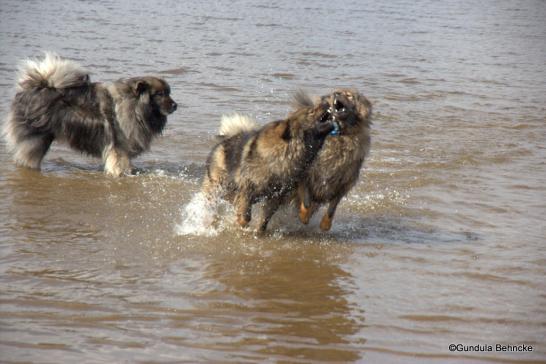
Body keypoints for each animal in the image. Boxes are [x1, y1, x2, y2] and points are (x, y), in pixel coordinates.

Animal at [296, 88, 372, 230]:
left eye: (349, 96)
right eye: (335, 93)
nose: (337, 94)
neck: (340, 134)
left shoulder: (344, 183)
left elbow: (332, 207)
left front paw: (325, 224)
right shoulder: (305, 175)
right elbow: (307, 200)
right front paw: (304, 216)